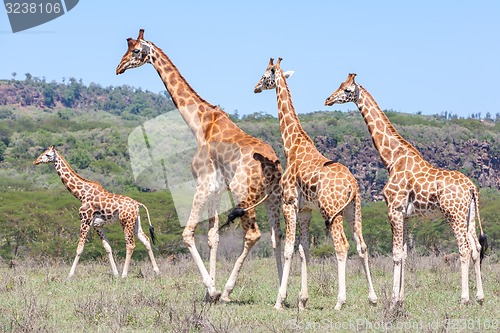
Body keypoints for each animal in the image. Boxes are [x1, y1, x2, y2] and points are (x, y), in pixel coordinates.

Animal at [33, 145, 158, 278]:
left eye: (47, 155)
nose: (36, 161)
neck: (81, 194)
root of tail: (137, 204)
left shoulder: (85, 220)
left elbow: (80, 248)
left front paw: (70, 275)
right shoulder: (97, 225)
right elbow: (107, 247)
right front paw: (115, 274)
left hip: (126, 222)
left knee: (130, 244)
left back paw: (124, 274)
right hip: (135, 222)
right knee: (146, 240)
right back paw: (156, 271)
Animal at [114, 29, 284, 300]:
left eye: (136, 51)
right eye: (126, 49)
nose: (118, 68)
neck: (200, 124)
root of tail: (275, 166)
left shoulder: (202, 183)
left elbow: (188, 233)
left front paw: (212, 289)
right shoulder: (216, 190)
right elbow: (213, 236)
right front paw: (210, 287)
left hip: (243, 192)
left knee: (253, 234)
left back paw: (227, 291)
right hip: (273, 197)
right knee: (277, 235)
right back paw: (281, 292)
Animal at [254, 58, 376, 310]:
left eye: (265, 75)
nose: (255, 88)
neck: (292, 145)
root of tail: (352, 185)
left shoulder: (289, 203)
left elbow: (289, 249)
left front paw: (280, 300)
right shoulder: (305, 210)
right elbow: (304, 250)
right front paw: (302, 300)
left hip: (332, 210)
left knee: (342, 246)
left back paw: (340, 301)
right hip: (354, 209)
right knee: (361, 245)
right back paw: (373, 298)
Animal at [324, 73, 488, 306]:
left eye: (347, 90)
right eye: (339, 85)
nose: (328, 100)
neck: (392, 159)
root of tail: (472, 187)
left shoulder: (393, 209)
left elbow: (395, 254)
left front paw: (393, 299)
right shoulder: (406, 215)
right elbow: (404, 254)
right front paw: (400, 298)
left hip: (453, 214)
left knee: (464, 249)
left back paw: (464, 299)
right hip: (469, 216)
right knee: (476, 248)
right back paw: (480, 297)